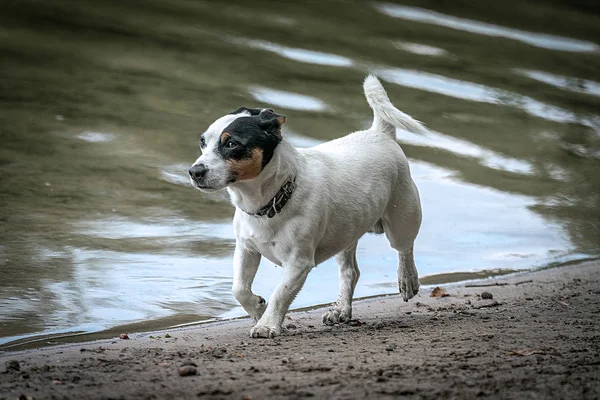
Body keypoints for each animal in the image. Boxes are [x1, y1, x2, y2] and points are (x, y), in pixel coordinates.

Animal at [190, 74, 424, 338]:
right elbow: (238, 289)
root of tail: (380, 133)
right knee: (350, 272)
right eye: (202, 142)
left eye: (232, 144)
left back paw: (407, 280)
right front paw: (259, 311)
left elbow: (280, 293)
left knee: (404, 248)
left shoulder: (298, 263)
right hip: (345, 233)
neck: (271, 199)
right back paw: (341, 310)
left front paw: (267, 324)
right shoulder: (246, 249)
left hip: (402, 220)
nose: (194, 172)